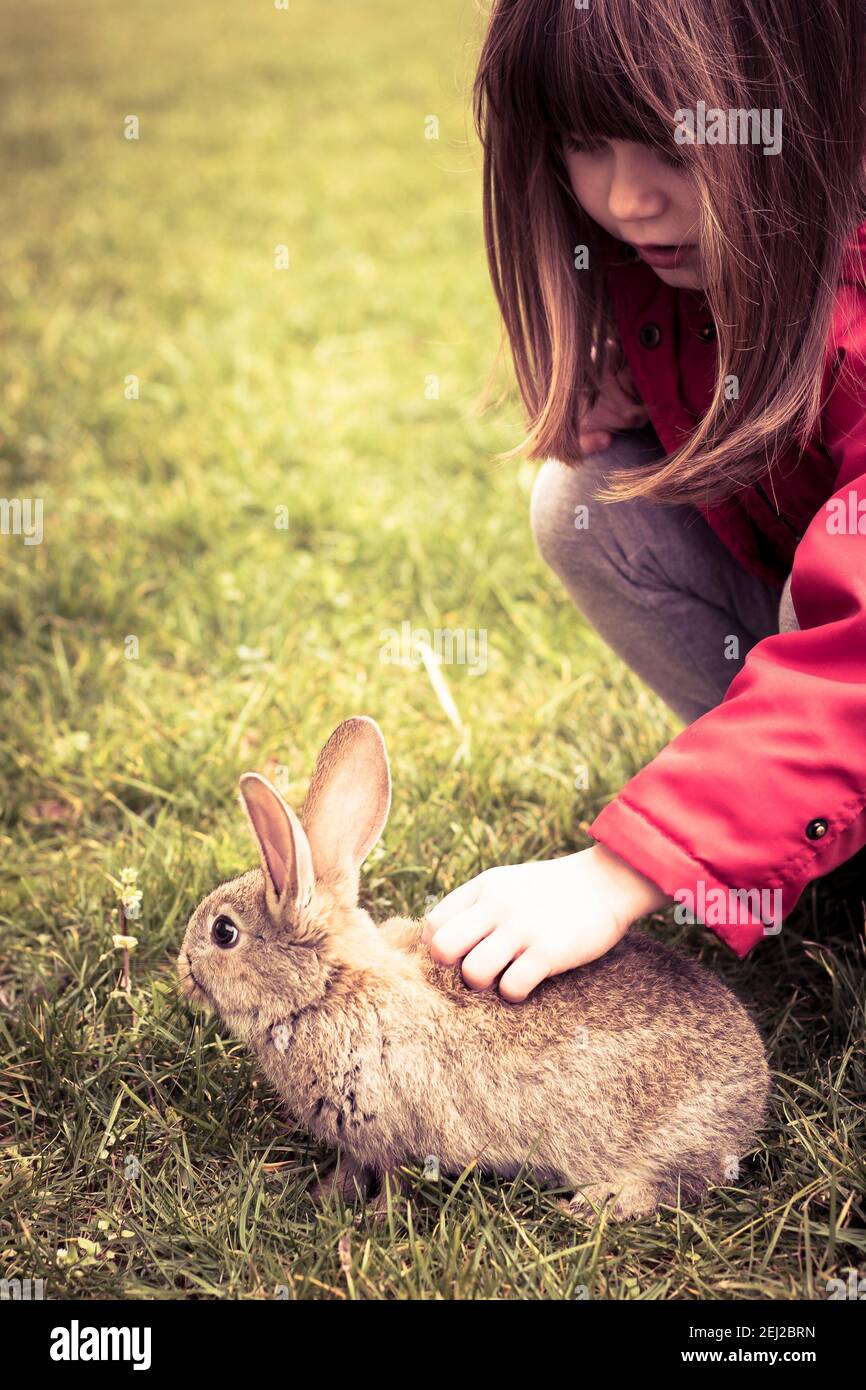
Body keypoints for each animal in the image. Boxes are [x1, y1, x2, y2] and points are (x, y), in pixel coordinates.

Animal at [177, 717, 772, 1217]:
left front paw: (372, 1219)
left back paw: (595, 1204)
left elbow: (389, 1177)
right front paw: (325, 1199)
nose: (182, 969)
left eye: (223, 933)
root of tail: (754, 1092)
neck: (326, 990)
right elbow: (352, 1168)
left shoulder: (396, 1131)